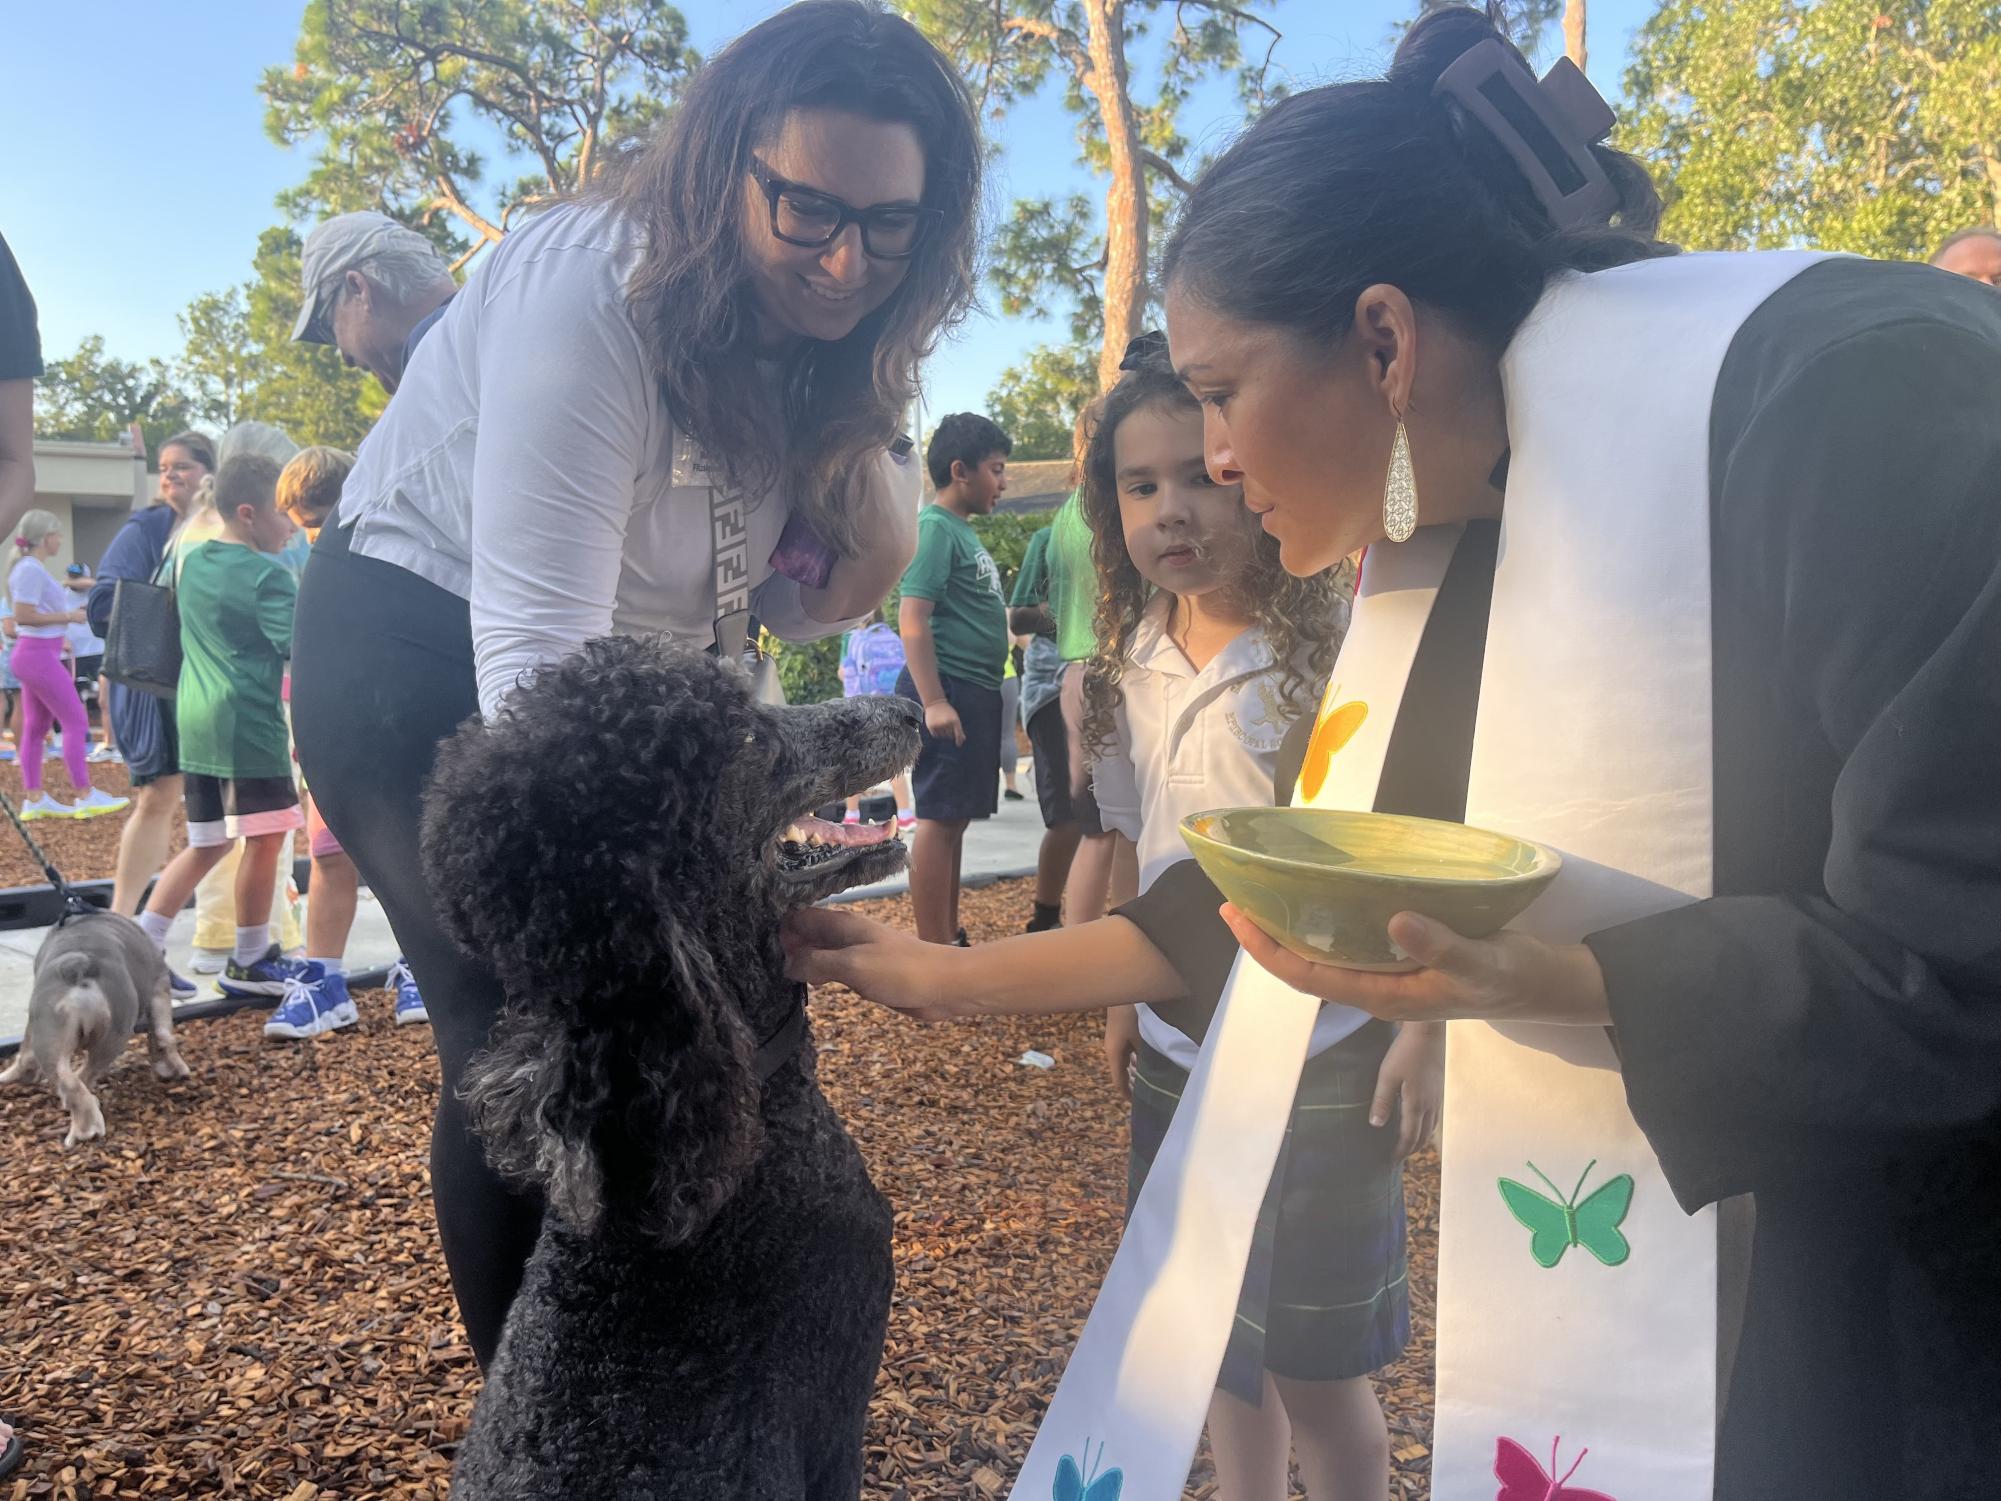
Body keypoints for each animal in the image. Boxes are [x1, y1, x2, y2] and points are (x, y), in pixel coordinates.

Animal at [0, 912, 188, 1144]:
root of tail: (80, 968)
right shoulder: (159, 989)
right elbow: (162, 1035)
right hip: (98, 1036)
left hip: (58, 1032)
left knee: (76, 1080)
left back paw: (84, 1129)